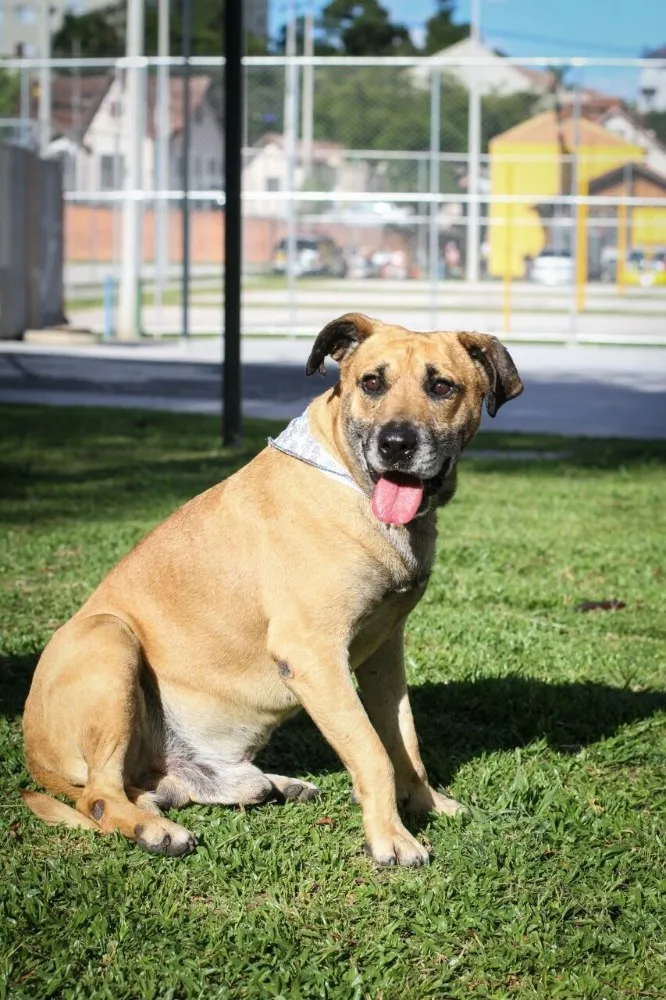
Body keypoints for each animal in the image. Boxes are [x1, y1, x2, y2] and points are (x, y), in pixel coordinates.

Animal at [20, 314, 520, 868]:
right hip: (110, 641)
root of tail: (35, 758)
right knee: (102, 797)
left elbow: (404, 741)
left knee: (167, 788)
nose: (396, 444)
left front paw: (425, 802)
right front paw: (391, 836)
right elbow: (373, 751)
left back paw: (272, 785)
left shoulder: (383, 652)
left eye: (442, 386)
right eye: (372, 382)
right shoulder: (314, 656)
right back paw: (156, 831)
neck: (349, 481)